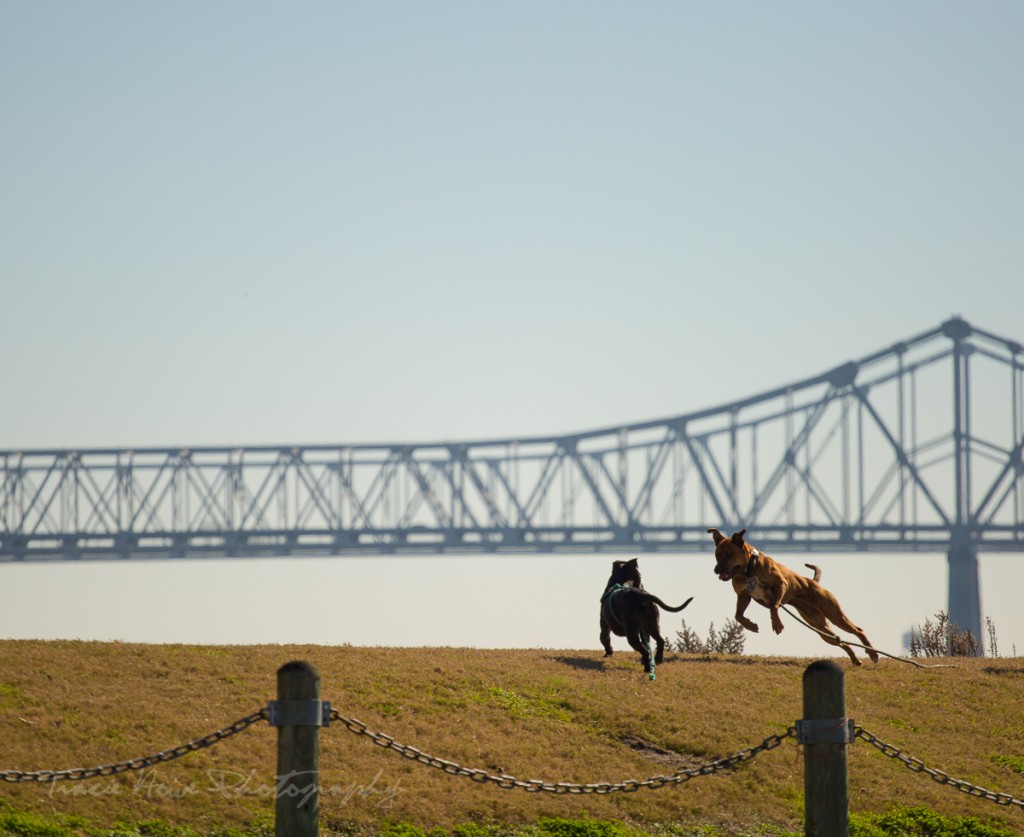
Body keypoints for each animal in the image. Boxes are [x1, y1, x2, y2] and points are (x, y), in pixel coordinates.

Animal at [708, 524, 876, 663]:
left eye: (729, 554)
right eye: (717, 554)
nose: (716, 570)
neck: (749, 569)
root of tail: (814, 582)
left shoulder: (781, 584)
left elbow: (774, 606)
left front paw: (777, 623)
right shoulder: (743, 595)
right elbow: (738, 615)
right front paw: (750, 625)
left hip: (834, 614)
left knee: (858, 630)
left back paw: (872, 653)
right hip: (819, 627)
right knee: (839, 640)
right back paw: (854, 658)